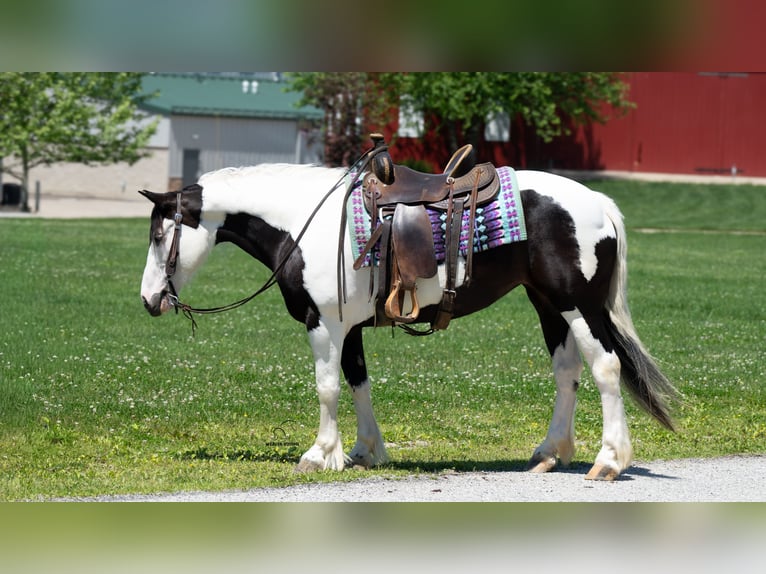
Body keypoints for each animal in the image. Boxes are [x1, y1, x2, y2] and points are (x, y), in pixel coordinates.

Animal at [139, 160, 676, 481]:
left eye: (161, 236)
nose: (149, 300)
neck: (303, 222)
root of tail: (599, 204)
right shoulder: (350, 329)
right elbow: (358, 383)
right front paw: (363, 451)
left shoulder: (323, 324)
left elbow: (327, 388)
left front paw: (320, 454)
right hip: (547, 304)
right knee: (567, 373)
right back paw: (548, 452)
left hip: (577, 304)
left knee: (606, 368)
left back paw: (609, 461)